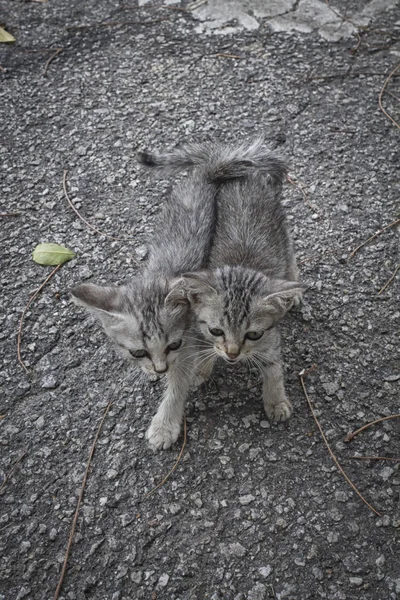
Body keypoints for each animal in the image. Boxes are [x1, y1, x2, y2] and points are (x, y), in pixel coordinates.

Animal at [71, 139, 272, 450]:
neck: (159, 274)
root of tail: (206, 172)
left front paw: (165, 424)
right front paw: (149, 372)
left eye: (173, 345)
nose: (160, 369)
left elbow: (178, 385)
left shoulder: (189, 344)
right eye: (138, 351)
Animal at [145, 139, 304, 424]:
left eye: (253, 334)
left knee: (291, 254)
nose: (232, 354)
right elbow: (202, 351)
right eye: (216, 330)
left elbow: (273, 367)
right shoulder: (197, 329)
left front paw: (276, 400)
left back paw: (293, 289)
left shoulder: (270, 339)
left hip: (281, 230)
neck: (241, 266)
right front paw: (201, 370)